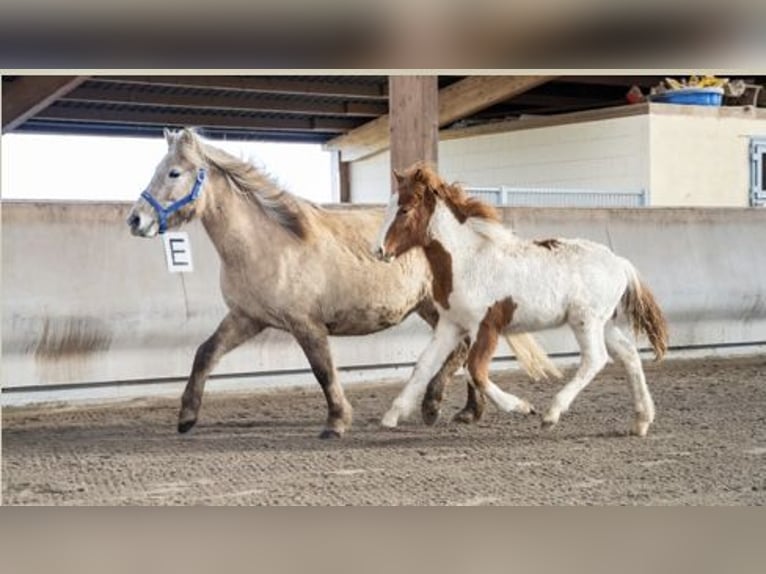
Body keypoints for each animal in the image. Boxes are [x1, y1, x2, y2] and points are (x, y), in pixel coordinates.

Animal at [126, 128, 557, 438]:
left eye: (174, 172)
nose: (135, 220)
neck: (268, 243)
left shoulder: (306, 324)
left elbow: (323, 370)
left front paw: (336, 423)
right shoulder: (247, 318)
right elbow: (205, 354)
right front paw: (186, 418)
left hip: (440, 307)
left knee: (463, 351)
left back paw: (437, 406)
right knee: (464, 351)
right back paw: (466, 411)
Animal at [374, 163, 669, 437]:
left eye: (404, 209)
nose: (378, 250)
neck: (468, 260)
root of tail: (620, 262)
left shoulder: (486, 327)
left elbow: (475, 371)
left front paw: (522, 407)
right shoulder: (451, 324)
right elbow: (423, 365)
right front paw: (392, 415)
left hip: (585, 321)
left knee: (595, 359)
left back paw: (551, 413)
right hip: (605, 324)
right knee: (629, 355)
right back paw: (641, 421)